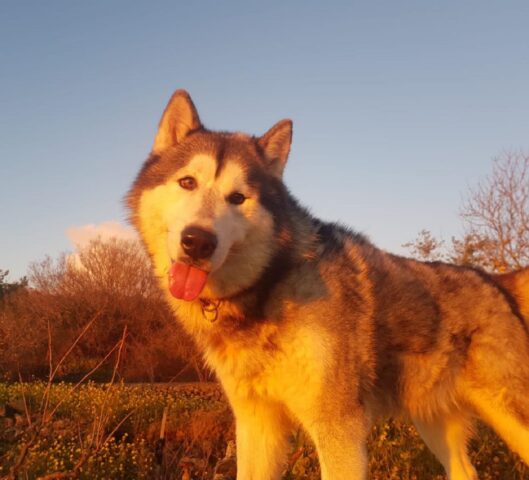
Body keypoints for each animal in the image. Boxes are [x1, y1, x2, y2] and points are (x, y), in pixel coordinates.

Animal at [128, 90, 528, 480]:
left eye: (238, 198)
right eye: (187, 183)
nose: (198, 241)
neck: (273, 283)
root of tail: (496, 281)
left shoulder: (339, 428)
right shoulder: (257, 425)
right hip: (432, 421)